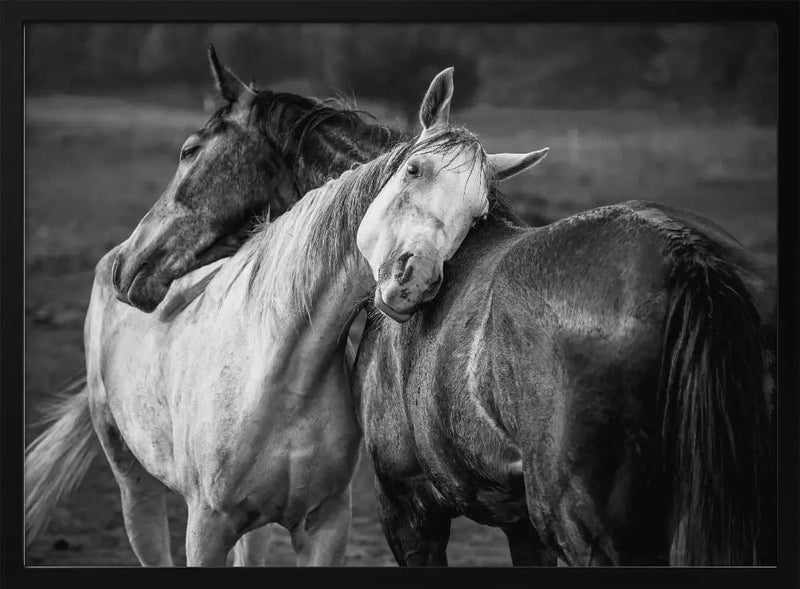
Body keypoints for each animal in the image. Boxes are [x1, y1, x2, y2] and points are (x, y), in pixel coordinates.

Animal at [111, 48, 776, 564]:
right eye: (412, 168)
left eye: (189, 150)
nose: (412, 281)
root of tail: (682, 259)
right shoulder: (521, 529)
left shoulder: (408, 510)